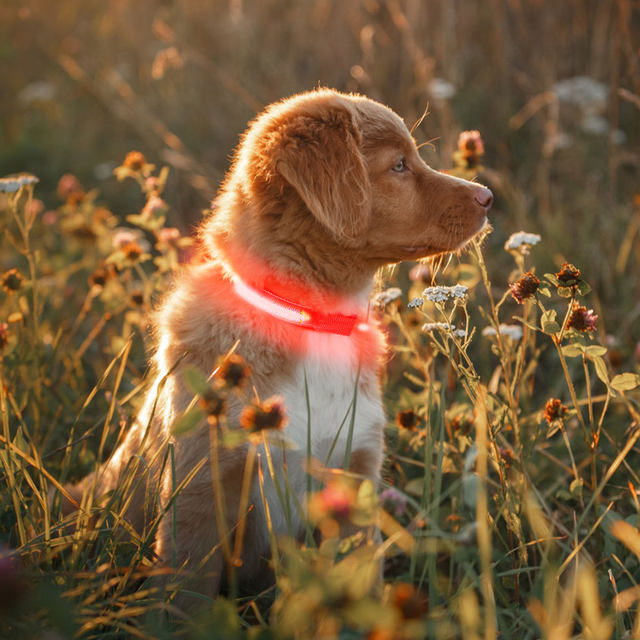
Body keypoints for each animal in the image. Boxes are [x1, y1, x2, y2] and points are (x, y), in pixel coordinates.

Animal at [63, 87, 490, 604]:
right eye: (399, 166)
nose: (488, 197)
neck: (311, 321)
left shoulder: (356, 472)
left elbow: (361, 583)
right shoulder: (202, 488)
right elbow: (186, 597)